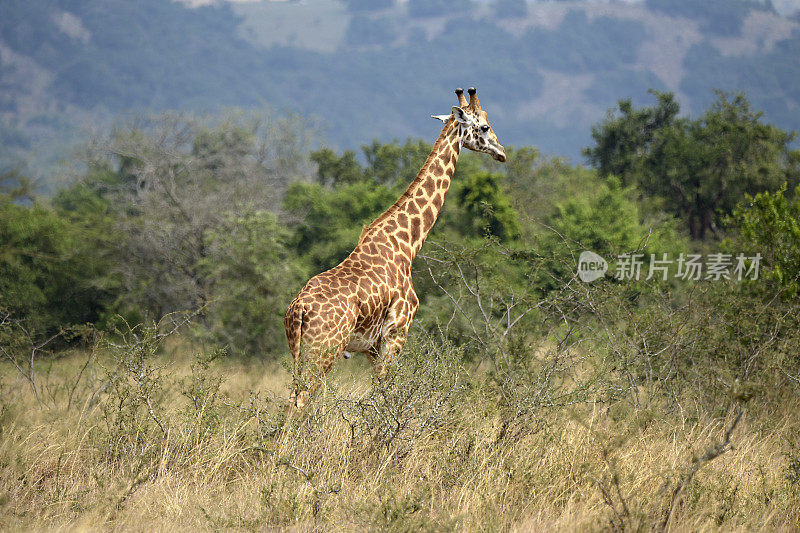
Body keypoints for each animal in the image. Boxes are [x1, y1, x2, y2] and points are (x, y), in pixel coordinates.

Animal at [284, 88, 504, 408]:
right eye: (485, 127)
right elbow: (384, 397)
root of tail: (299, 309)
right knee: (301, 401)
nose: (502, 152)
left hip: (298, 350)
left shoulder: (372, 348)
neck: (408, 244)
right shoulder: (396, 334)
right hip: (324, 350)